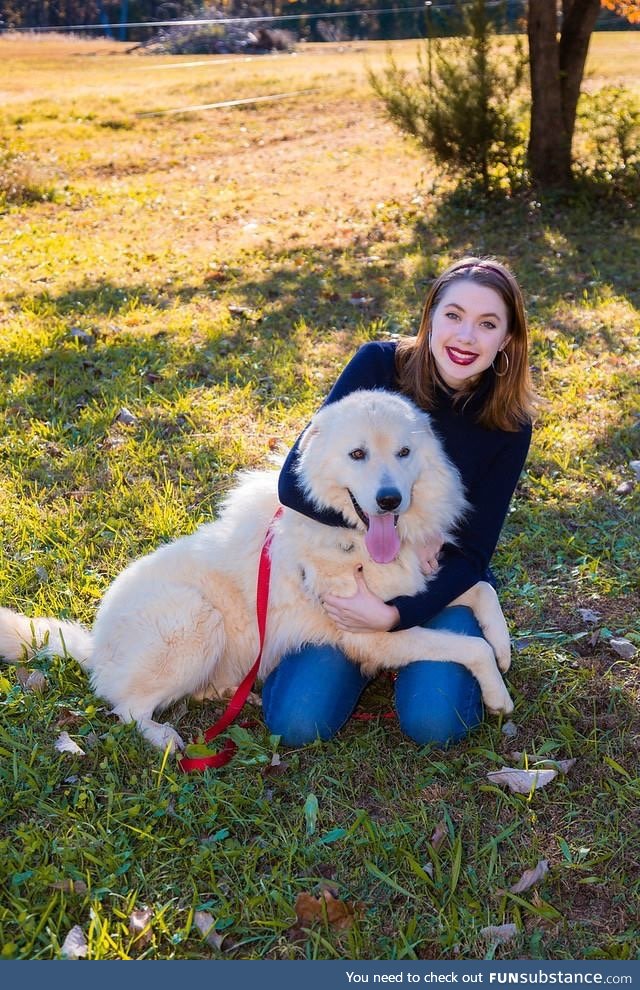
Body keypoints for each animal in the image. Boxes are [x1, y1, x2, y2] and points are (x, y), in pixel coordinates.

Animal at [0, 392, 510, 748]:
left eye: (404, 453)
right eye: (358, 454)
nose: (389, 500)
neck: (348, 536)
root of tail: (97, 644)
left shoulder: (411, 590)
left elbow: (480, 590)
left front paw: (504, 647)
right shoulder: (374, 636)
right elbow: (469, 647)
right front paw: (498, 693)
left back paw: (228, 692)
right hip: (196, 619)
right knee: (125, 707)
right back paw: (165, 738)